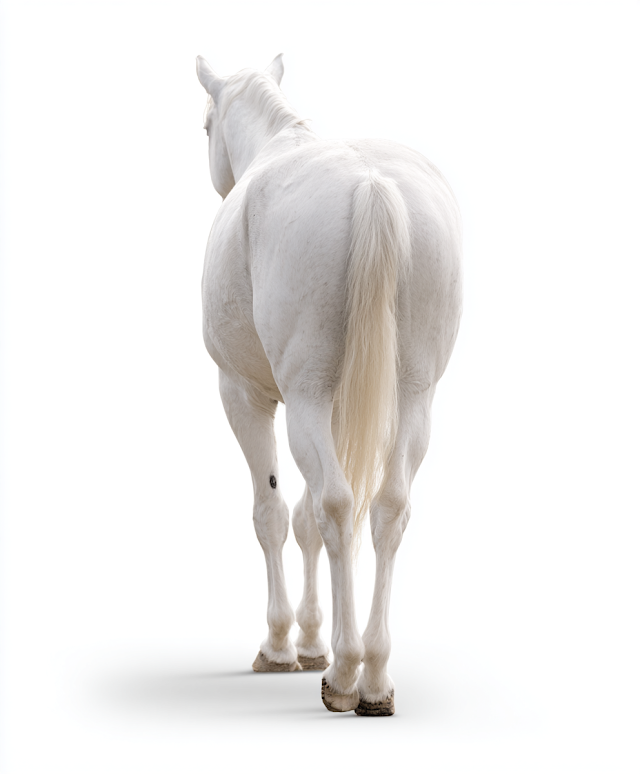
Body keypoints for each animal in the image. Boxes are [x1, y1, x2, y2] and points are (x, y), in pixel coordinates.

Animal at [195, 53, 462, 716]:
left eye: (205, 125)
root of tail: (371, 185)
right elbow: (306, 518)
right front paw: (312, 638)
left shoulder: (244, 395)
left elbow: (273, 513)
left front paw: (284, 644)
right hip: (412, 398)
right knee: (388, 508)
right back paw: (375, 675)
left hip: (304, 399)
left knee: (338, 505)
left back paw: (345, 673)